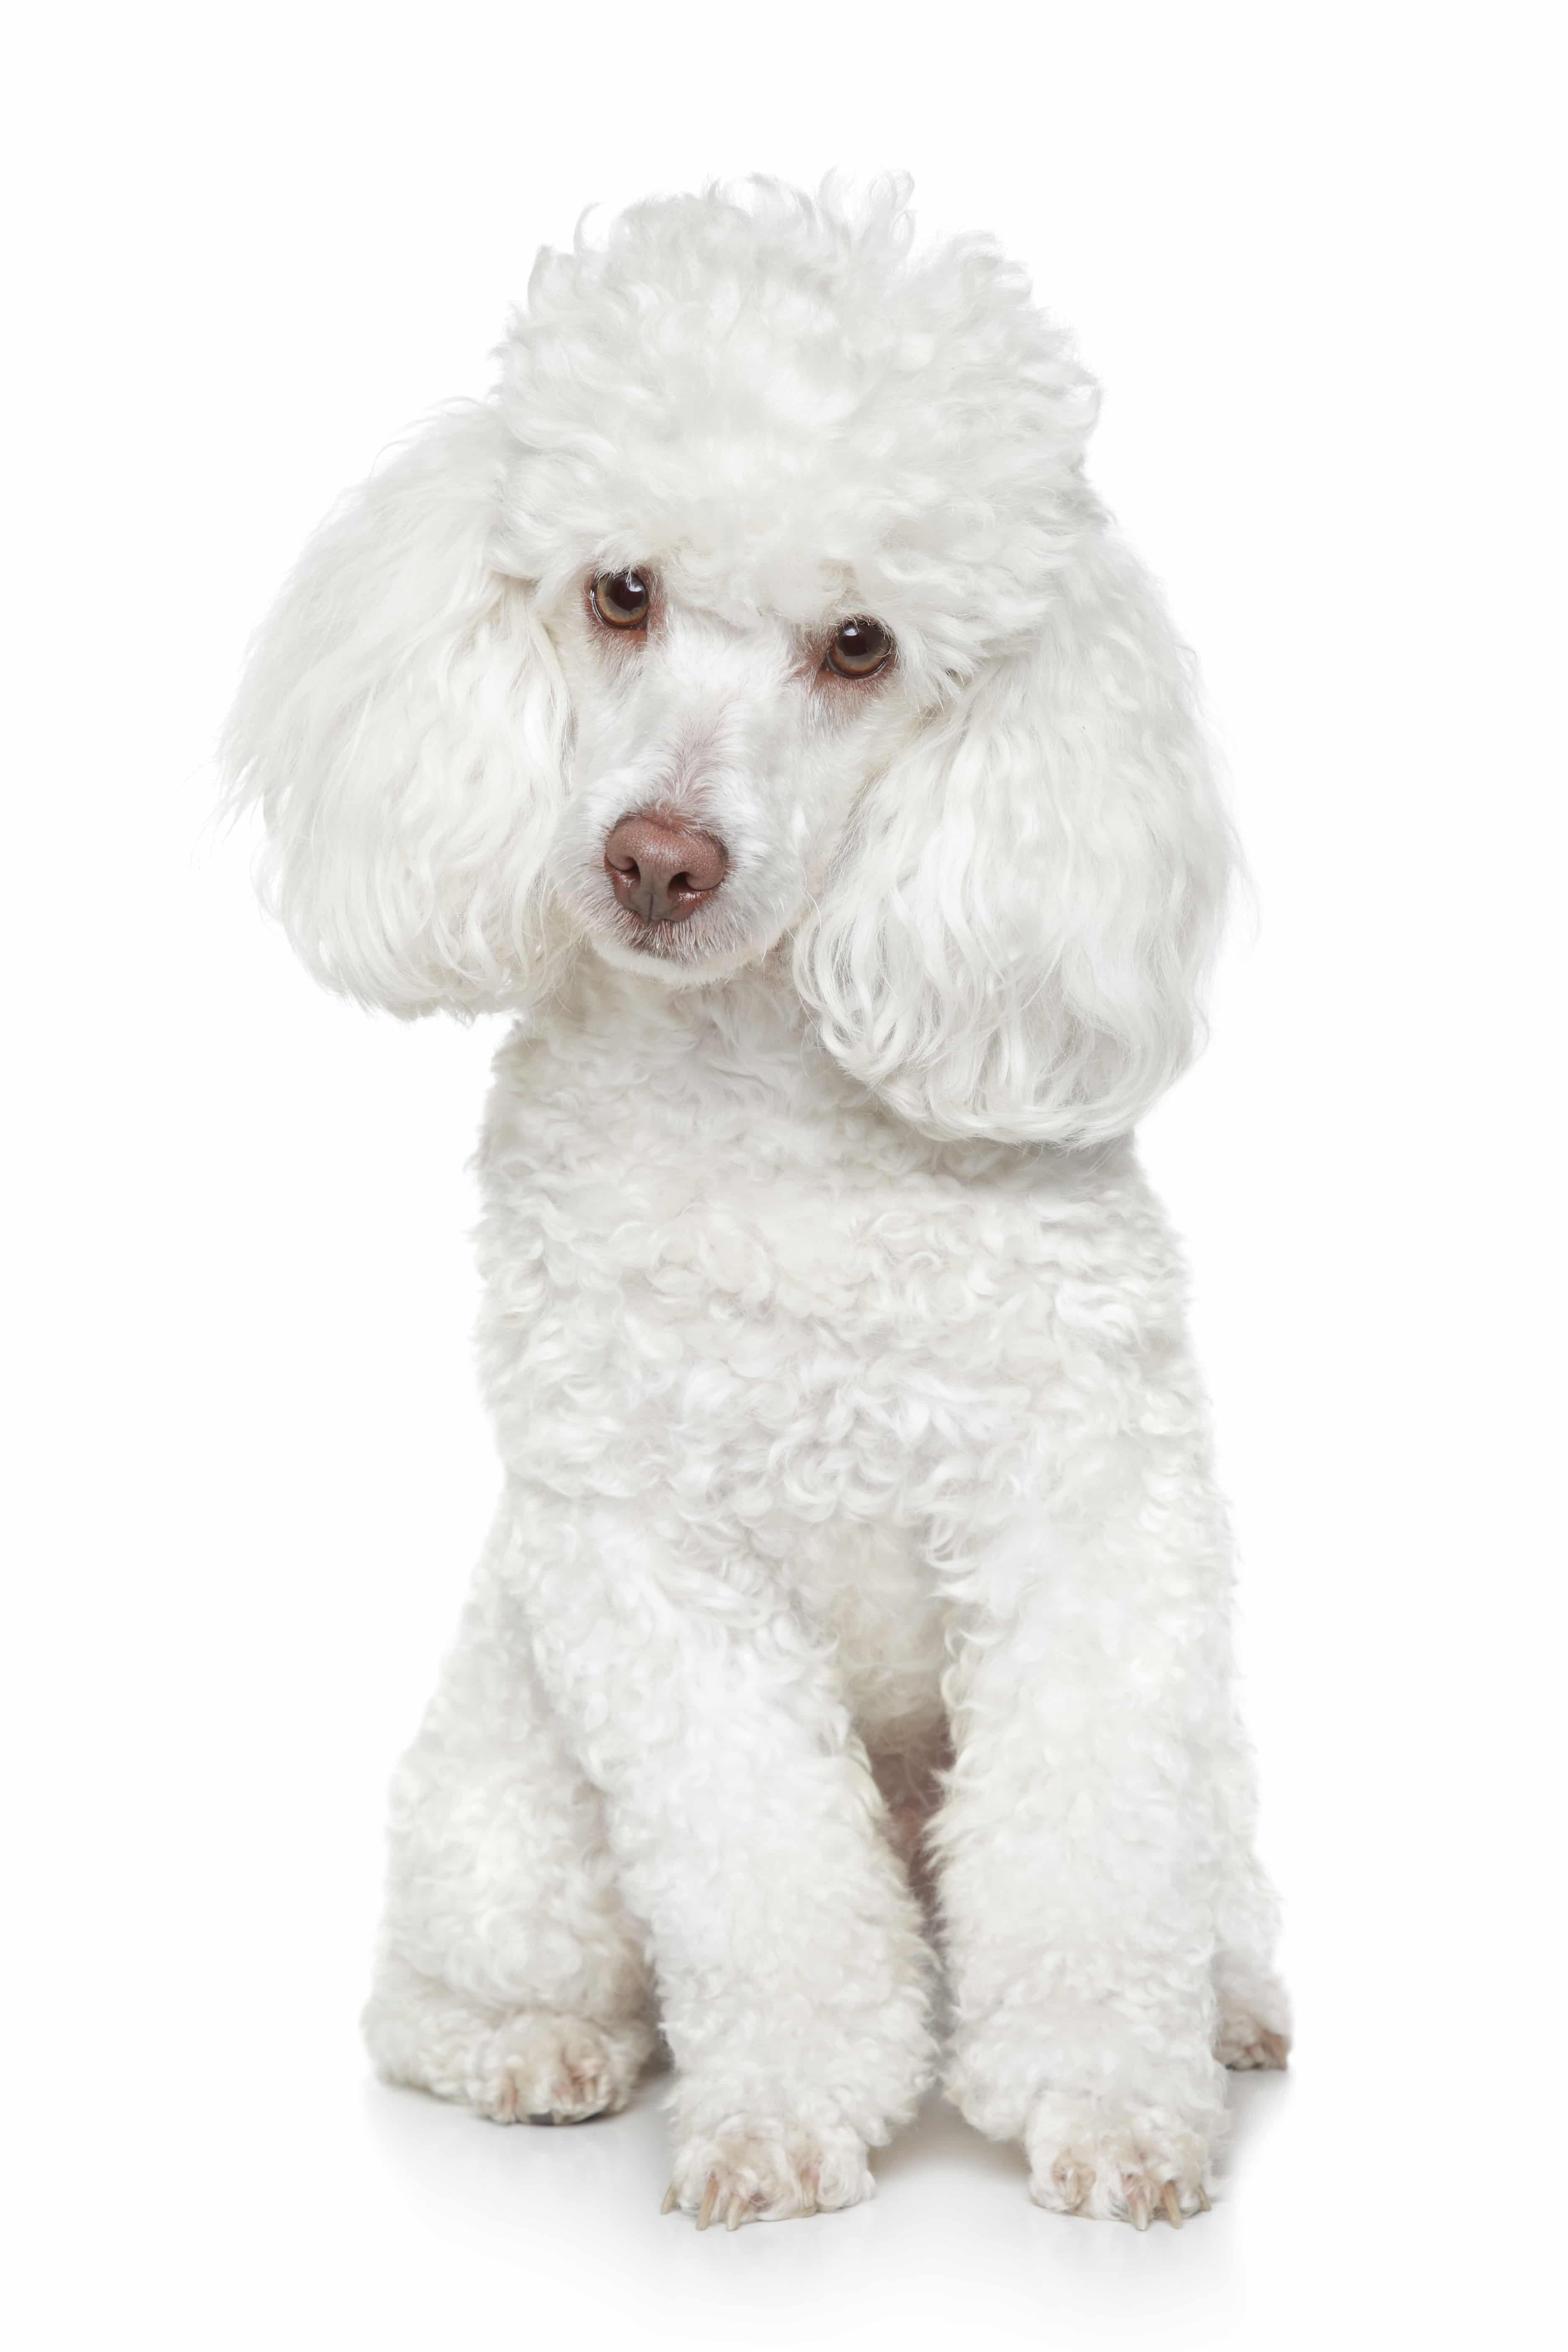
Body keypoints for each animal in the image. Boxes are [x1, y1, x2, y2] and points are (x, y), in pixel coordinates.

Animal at [227, 178, 1297, 2220]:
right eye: (619, 591)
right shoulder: (648, 1557)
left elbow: (1084, 1845)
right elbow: (765, 1870)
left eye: (862, 643)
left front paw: (1111, 2104)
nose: (658, 858)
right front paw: (789, 2114)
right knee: (432, 1991)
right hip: (518, 1796)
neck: (766, 1106)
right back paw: (529, 2049)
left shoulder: (1087, 1511)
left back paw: (1231, 2003)